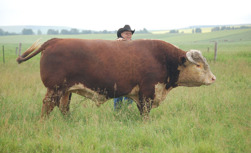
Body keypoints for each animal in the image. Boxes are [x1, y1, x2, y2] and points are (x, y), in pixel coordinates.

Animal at [16, 38, 216, 117]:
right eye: (198, 65)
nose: (213, 78)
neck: (163, 58)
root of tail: (55, 40)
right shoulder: (147, 92)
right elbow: (145, 113)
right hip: (55, 88)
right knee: (48, 106)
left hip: (66, 90)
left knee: (63, 107)